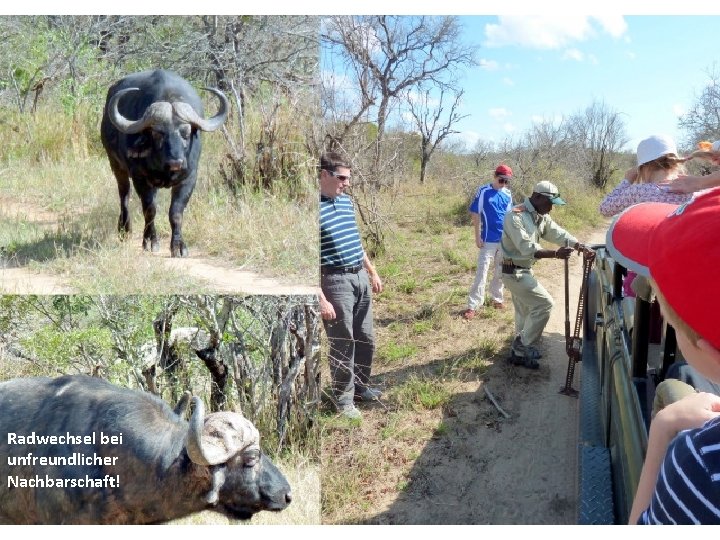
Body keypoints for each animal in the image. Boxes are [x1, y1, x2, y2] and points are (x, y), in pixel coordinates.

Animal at [99, 69, 228, 258]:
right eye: (158, 133)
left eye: (186, 132)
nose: (176, 162)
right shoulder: (140, 178)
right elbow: (150, 209)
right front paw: (150, 241)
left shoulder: (189, 178)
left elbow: (176, 212)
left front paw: (178, 246)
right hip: (116, 166)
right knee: (124, 196)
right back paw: (124, 230)